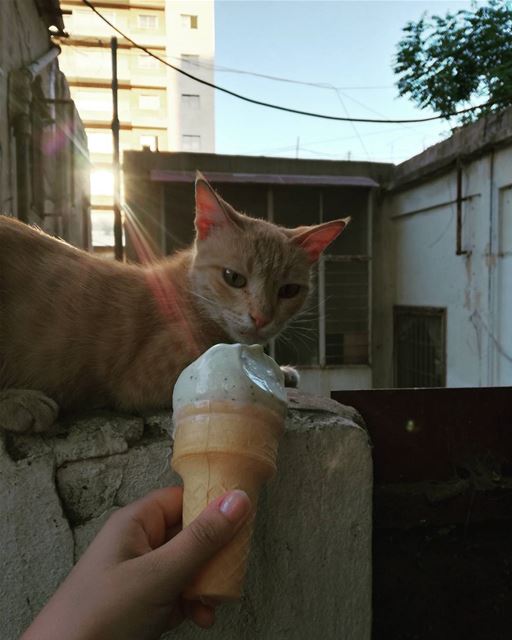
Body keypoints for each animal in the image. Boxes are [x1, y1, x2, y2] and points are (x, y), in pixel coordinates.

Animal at [0, 172, 348, 432]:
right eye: (233, 278)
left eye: (289, 290)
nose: (261, 317)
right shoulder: (145, 378)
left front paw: (281, 369)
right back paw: (20, 403)